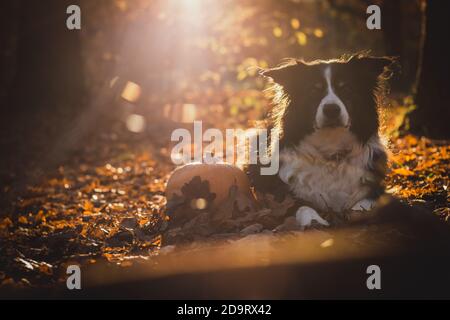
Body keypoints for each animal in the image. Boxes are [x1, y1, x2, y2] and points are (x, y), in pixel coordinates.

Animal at [248, 52, 392, 228]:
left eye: (346, 89)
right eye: (313, 91)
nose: (331, 109)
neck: (330, 151)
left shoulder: (374, 188)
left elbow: (364, 205)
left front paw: (357, 215)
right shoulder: (281, 196)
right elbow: (301, 206)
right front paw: (314, 221)